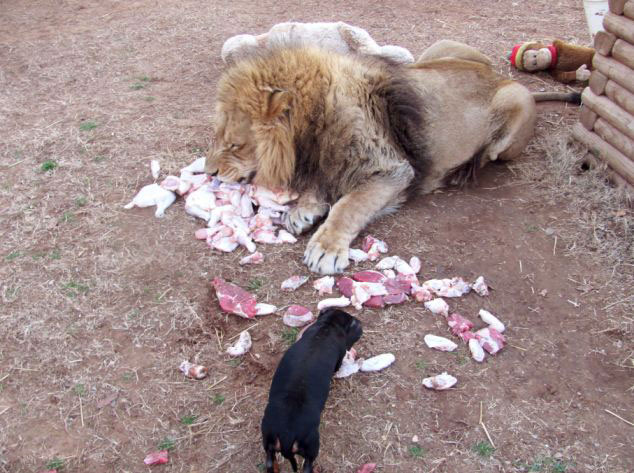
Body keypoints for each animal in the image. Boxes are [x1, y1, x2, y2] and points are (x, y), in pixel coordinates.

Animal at [205, 43, 536, 276]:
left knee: (489, 154)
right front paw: (305, 209)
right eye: (216, 137)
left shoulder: (393, 172)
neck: (314, 126)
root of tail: (497, 75)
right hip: (437, 51)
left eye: (234, 144)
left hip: (516, 105)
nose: (209, 172)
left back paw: (460, 171)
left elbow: (349, 205)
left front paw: (326, 248)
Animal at [260, 308, 360, 470]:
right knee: (307, 464)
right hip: (311, 445)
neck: (327, 326)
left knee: (270, 460)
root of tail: (286, 435)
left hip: (268, 440)